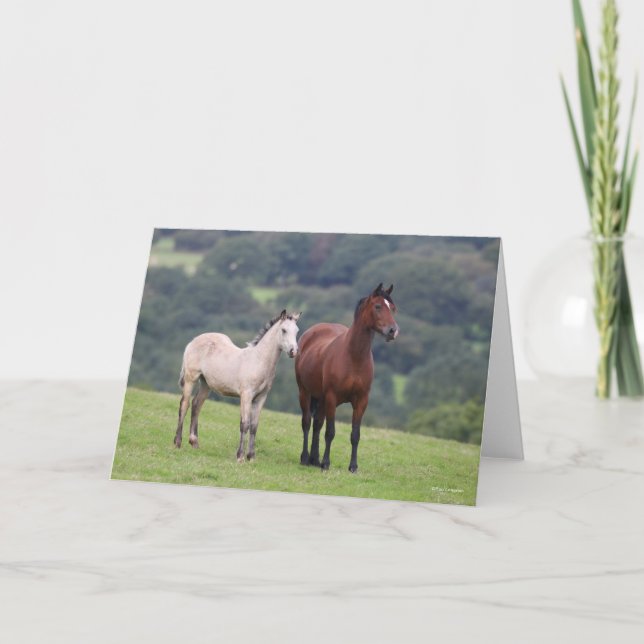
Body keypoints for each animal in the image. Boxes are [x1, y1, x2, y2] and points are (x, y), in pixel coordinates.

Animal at [174, 310, 301, 462]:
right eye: (283, 330)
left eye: (297, 331)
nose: (293, 351)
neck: (258, 361)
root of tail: (193, 341)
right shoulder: (246, 395)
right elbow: (244, 424)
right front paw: (240, 457)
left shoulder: (261, 398)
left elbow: (254, 426)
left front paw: (251, 457)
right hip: (190, 379)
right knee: (184, 404)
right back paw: (177, 442)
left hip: (206, 384)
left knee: (196, 405)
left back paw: (194, 442)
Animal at [294, 283, 399, 473]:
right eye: (378, 306)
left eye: (393, 308)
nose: (393, 331)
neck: (354, 357)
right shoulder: (331, 397)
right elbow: (330, 432)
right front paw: (326, 463)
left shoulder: (361, 401)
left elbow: (355, 434)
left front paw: (353, 467)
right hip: (305, 392)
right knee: (307, 422)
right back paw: (306, 458)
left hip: (321, 399)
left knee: (317, 423)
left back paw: (314, 459)